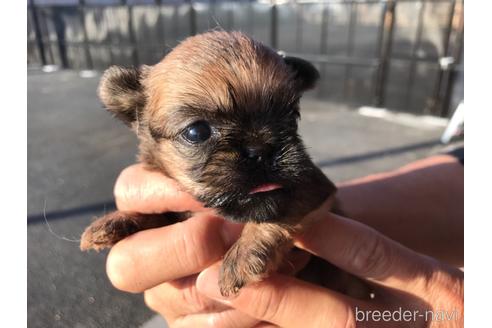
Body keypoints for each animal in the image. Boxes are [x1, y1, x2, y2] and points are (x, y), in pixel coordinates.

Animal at [81, 31, 338, 298]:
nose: (260, 150)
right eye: (196, 132)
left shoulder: (313, 186)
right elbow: (159, 214)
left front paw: (244, 253)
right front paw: (117, 220)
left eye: (292, 118)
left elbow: (282, 209)